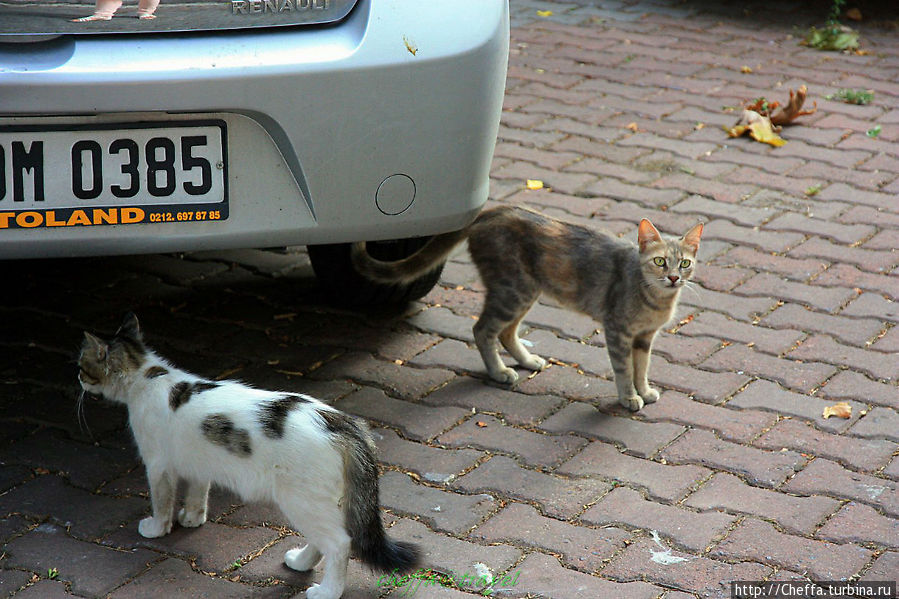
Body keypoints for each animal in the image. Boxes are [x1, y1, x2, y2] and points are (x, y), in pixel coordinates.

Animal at [352, 206, 704, 412]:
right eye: (659, 261)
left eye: (685, 263)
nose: (674, 277)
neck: (655, 300)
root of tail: (491, 210)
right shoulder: (617, 330)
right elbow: (624, 369)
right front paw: (629, 396)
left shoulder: (644, 337)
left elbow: (642, 367)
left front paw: (644, 390)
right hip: (513, 290)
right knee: (482, 329)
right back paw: (499, 372)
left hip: (524, 292)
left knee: (505, 332)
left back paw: (526, 361)